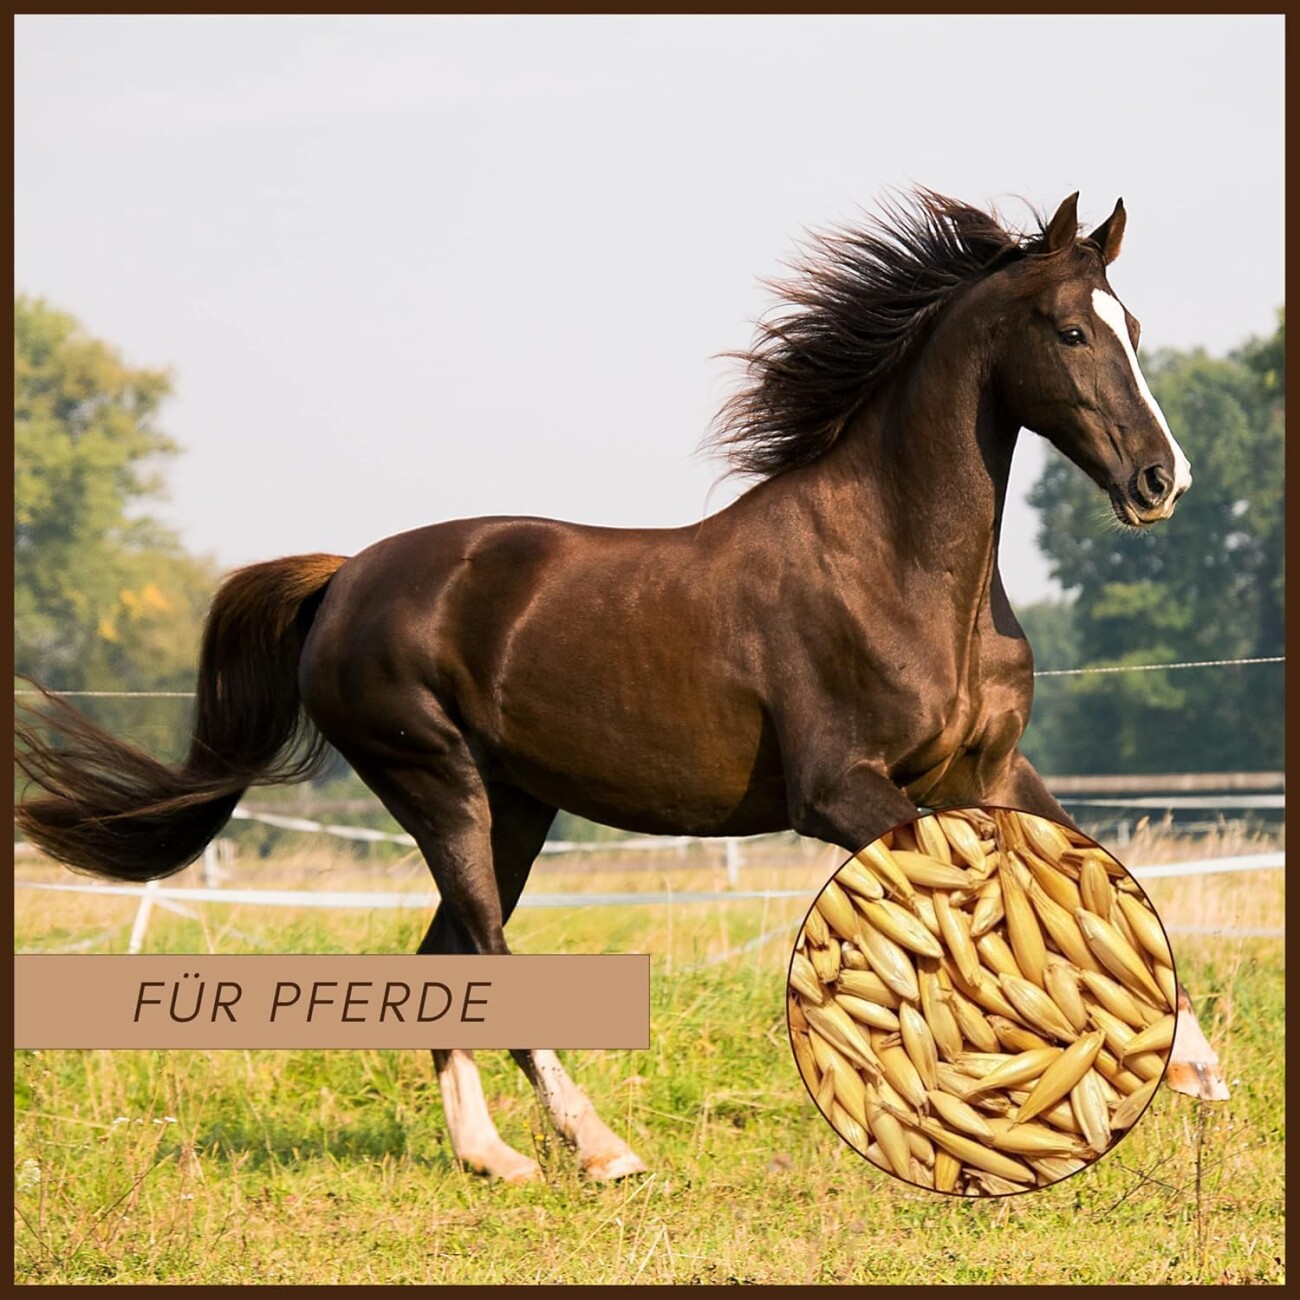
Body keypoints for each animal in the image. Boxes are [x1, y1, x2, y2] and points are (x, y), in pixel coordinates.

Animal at [15, 188, 1205, 1184]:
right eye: (1071, 331)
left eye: (1136, 329)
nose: (1163, 482)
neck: (898, 566)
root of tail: (345, 576)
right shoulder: (841, 793)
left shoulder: (989, 770)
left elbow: (1089, 874)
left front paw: (1190, 1062)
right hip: (439, 784)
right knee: (487, 953)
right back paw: (599, 1148)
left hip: (514, 807)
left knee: (448, 958)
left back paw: (495, 1158)